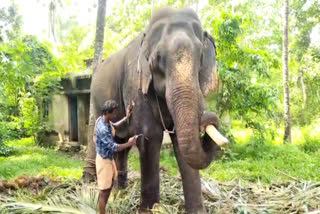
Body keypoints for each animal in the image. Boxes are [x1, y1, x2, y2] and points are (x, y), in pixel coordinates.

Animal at [82, 7, 228, 214]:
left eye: (200, 56)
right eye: (157, 59)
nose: (210, 117)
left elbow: (179, 143)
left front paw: (197, 212)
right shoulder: (136, 83)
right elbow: (150, 136)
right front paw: (150, 209)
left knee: (121, 143)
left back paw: (121, 191)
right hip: (95, 99)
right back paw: (102, 187)